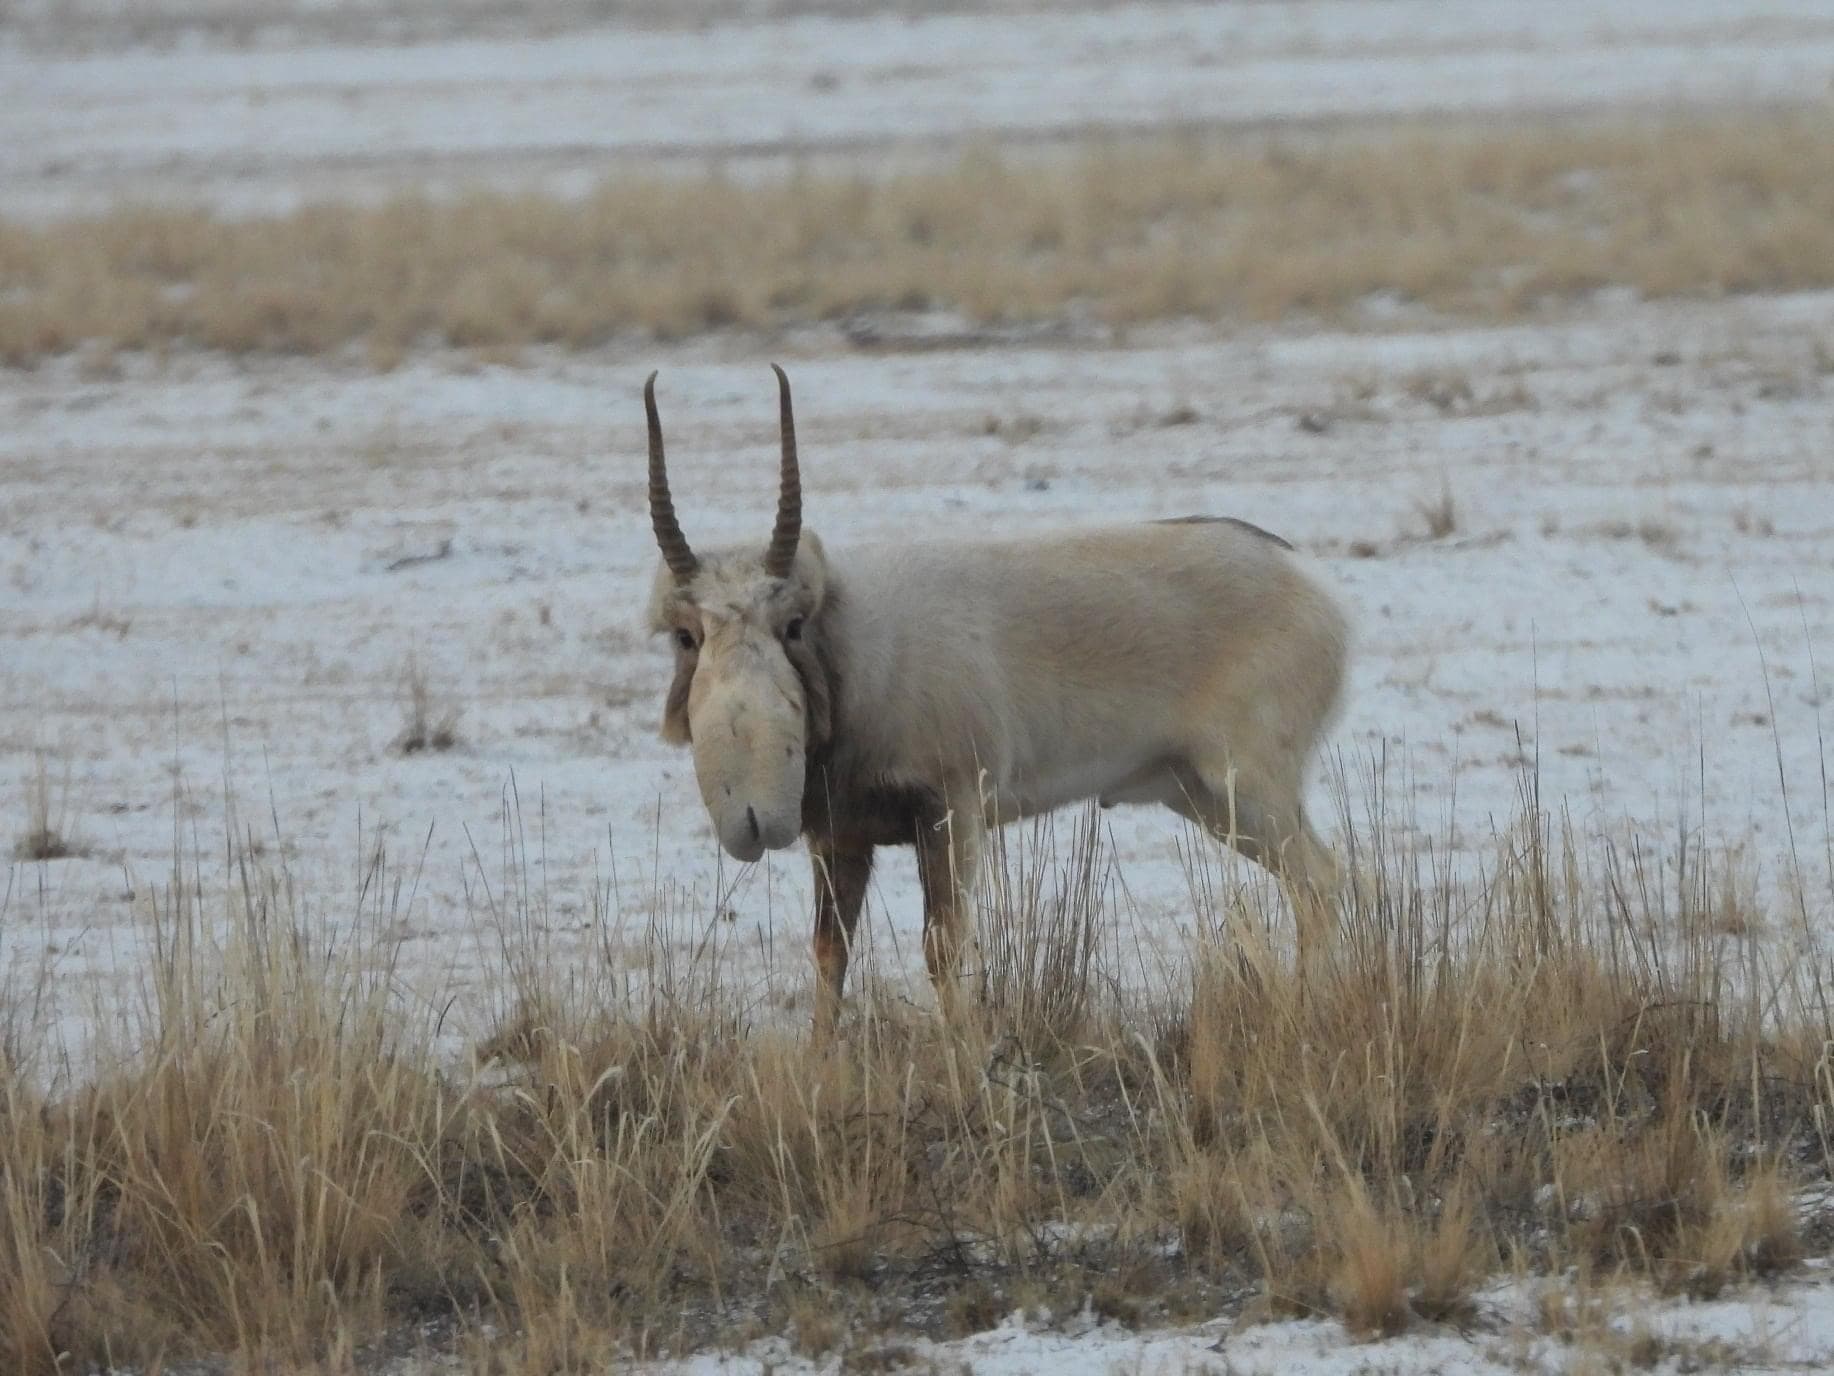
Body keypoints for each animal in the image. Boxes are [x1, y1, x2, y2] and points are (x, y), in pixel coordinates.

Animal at [643, 367, 1349, 1029]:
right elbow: (829, 954)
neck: (853, 646)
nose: (754, 819)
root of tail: (1305, 579)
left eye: (792, 624)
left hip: (1249, 786)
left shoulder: (951, 812)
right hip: (1205, 799)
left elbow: (943, 947)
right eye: (686, 634)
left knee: (1320, 880)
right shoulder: (839, 839)